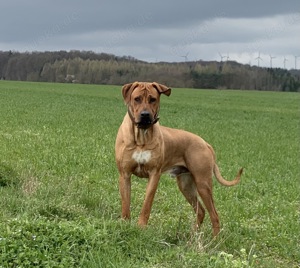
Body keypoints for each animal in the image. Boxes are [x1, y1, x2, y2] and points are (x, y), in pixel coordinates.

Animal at [113, 82, 243, 237]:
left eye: (153, 99)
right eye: (137, 99)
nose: (145, 115)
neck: (141, 136)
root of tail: (205, 143)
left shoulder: (154, 174)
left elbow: (147, 204)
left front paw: (141, 227)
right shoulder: (124, 174)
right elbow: (125, 203)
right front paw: (125, 224)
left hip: (203, 183)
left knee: (214, 215)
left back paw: (214, 240)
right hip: (186, 185)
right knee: (201, 211)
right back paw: (193, 236)